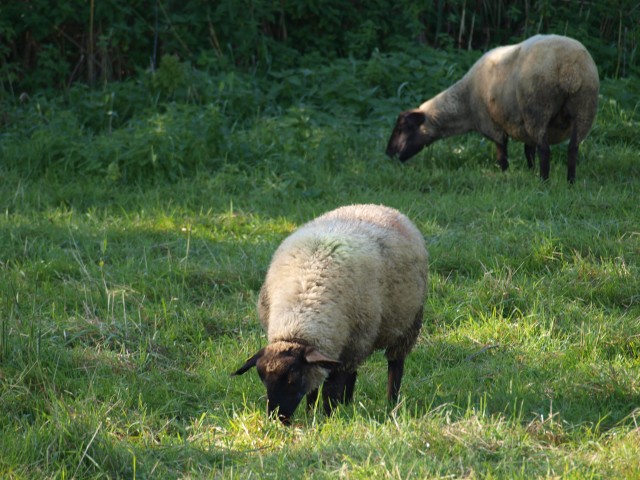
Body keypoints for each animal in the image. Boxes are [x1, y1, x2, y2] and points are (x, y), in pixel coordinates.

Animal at [232, 204, 428, 422]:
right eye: (264, 381)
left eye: (294, 379)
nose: (278, 418)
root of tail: (380, 207)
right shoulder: (332, 350)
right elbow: (314, 390)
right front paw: (311, 414)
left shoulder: (345, 349)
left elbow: (330, 390)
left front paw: (328, 418)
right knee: (353, 374)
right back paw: (349, 402)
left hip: (407, 325)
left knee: (395, 366)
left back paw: (391, 403)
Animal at [384, 33, 600, 183]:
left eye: (403, 128)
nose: (388, 153)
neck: (465, 104)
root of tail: (569, 70)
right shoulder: (523, 127)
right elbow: (528, 151)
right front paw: (530, 172)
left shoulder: (493, 126)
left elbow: (502, 155)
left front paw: (505, 176)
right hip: (584, 108)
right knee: (572, 148)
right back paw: (570, 182)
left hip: (538, 109)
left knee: (545, 151)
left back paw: (544, 182)